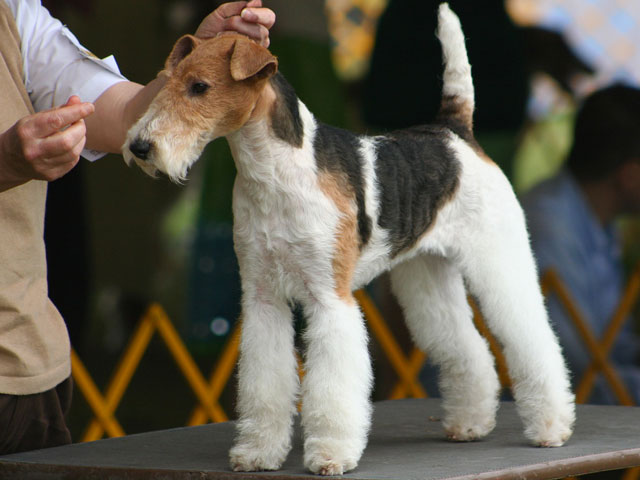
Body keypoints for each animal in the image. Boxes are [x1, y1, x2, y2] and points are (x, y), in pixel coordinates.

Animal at [124, 4, 576, 476]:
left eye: (200, 86)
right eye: (166, 81)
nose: (139, 147)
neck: (273, 171)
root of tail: (454, 131)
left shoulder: (329, 297)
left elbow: (333, 387)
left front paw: (330, 454)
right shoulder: (263, 297)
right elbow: (265, 384)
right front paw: (257, 452)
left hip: (499, 259)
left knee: (532, 337)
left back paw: (551, 427)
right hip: (427, 275)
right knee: (468, 348)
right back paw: (470, 422)